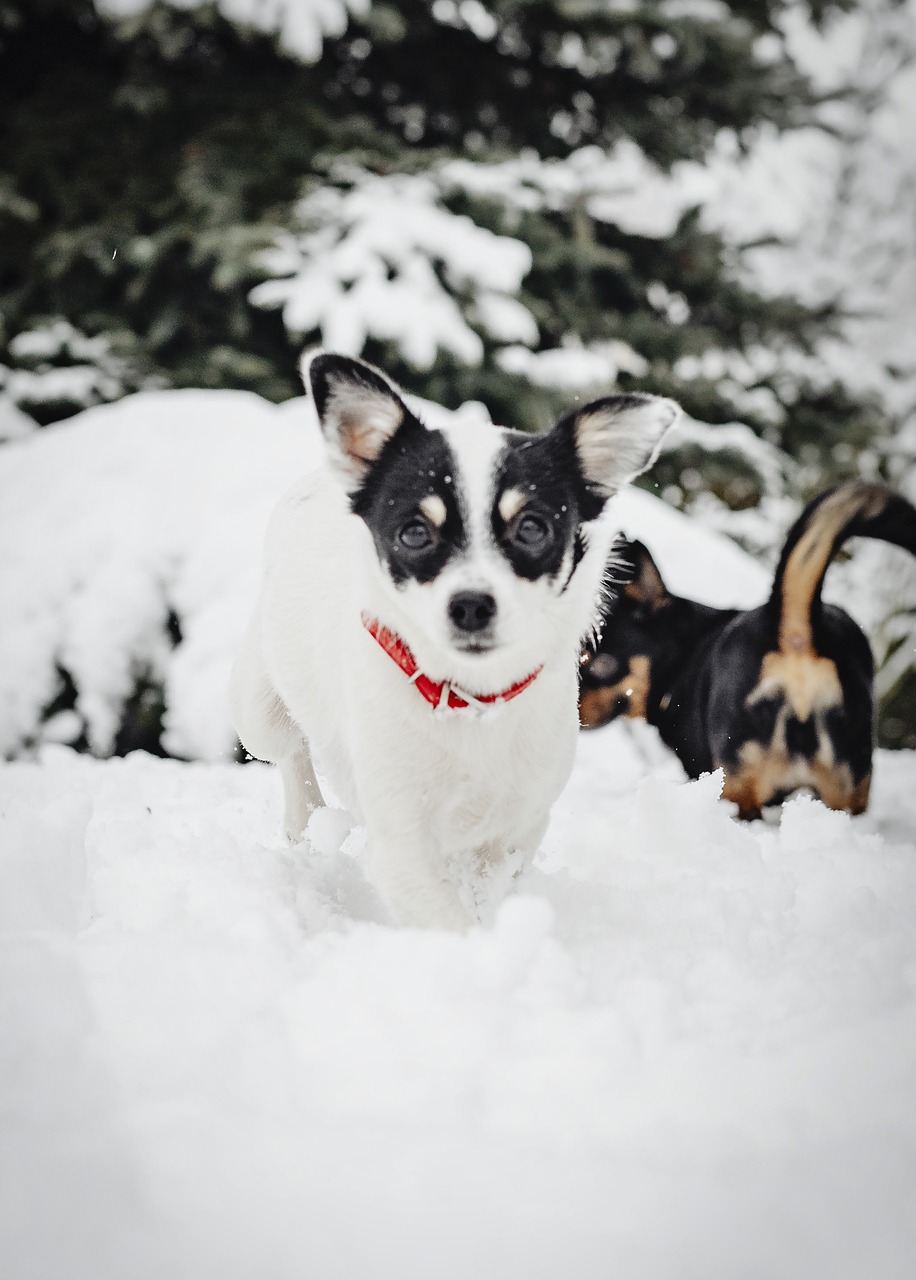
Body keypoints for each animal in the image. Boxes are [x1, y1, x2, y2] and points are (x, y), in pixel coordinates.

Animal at [229, 355, 675, 926]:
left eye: (532, 529)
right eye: (415, 533)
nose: (471, 605)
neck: (470, 698)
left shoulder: (517, 830)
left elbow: (487, 895)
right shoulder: (401, 844)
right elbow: (450, 921)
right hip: (259, 709)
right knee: (290, 754)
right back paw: (304, 820)